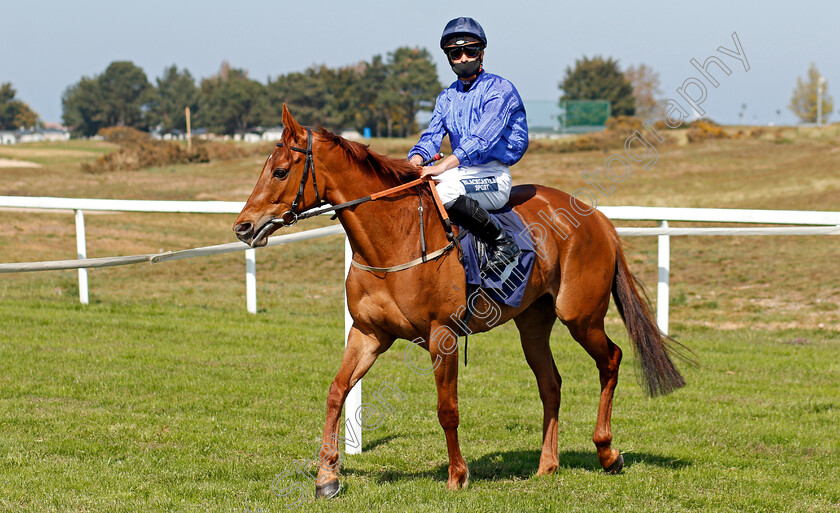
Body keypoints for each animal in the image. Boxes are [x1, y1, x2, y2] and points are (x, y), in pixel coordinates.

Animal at [233, 105, 684, 496]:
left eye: (279, 171)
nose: (243, 227)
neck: (393, 240)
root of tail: (598, 218)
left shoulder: (442, 335)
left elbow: (446, 408)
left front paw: (457, 475)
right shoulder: (368, 333)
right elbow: (336, 392)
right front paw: (327, 477)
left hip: (581, 316)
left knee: (611, 359)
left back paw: (607, 452)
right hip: (532, 323)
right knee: (551, 383)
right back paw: (547, 464)